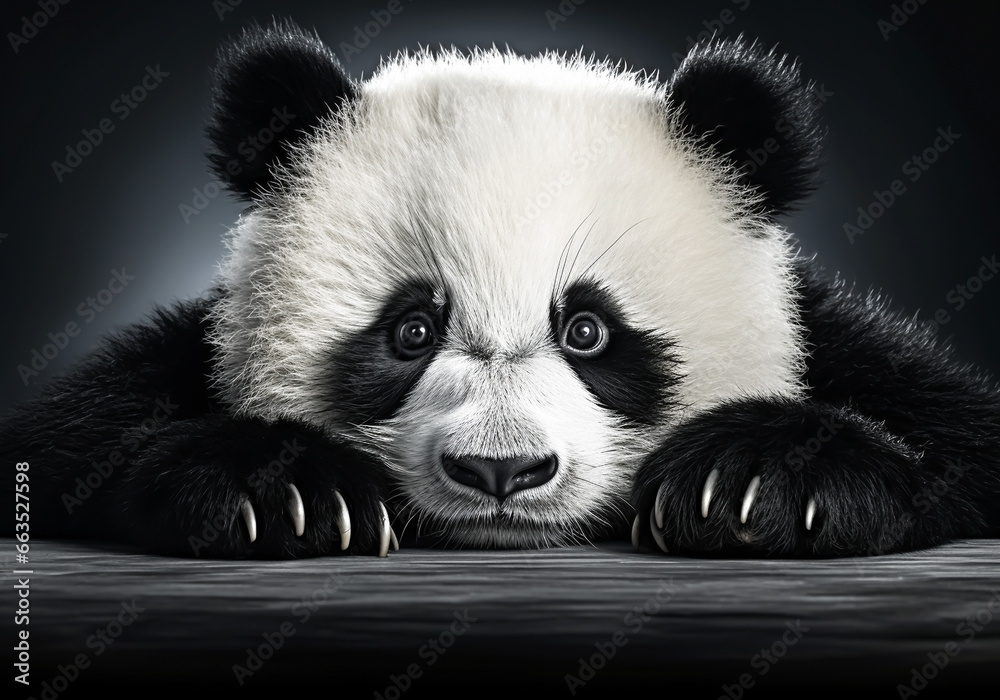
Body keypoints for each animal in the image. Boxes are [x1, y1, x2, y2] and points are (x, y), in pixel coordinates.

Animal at [3, 21, 999, 560]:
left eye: (589, 331)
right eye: (409, 332)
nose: (500, 472)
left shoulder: (844, 341)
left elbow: (964, 438)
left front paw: (760, 479)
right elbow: (66, 443)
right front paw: (281, 490)